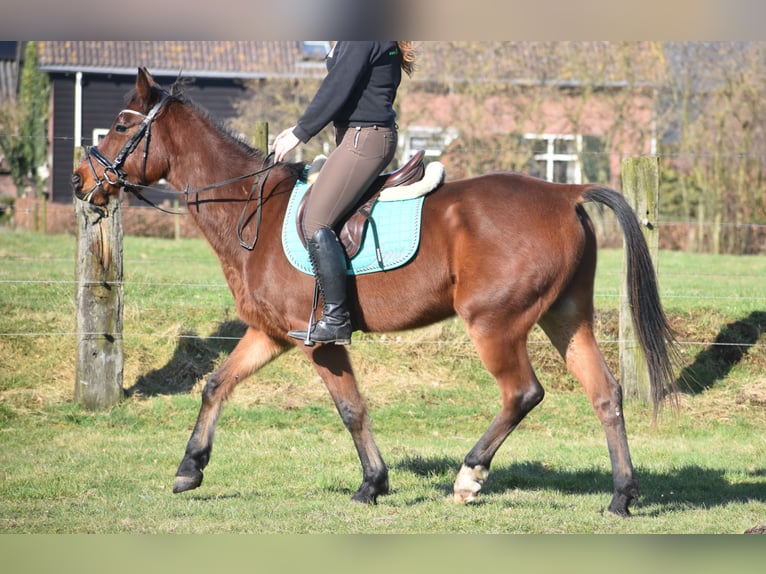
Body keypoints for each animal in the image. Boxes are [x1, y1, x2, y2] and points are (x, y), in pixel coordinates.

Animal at [72, 67, 680, 516]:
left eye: (122, 127)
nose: (81, 182)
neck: (251, 209)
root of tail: (564, 192)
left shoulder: (319, 340)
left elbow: (351, 409)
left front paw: (371, 484)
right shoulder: (270, 333)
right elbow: (216, 384)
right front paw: (189, 467)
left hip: (495, 323)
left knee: (522, 393)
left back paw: (469, 477)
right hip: (565, 316)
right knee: (605, 394)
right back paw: (621, 497)